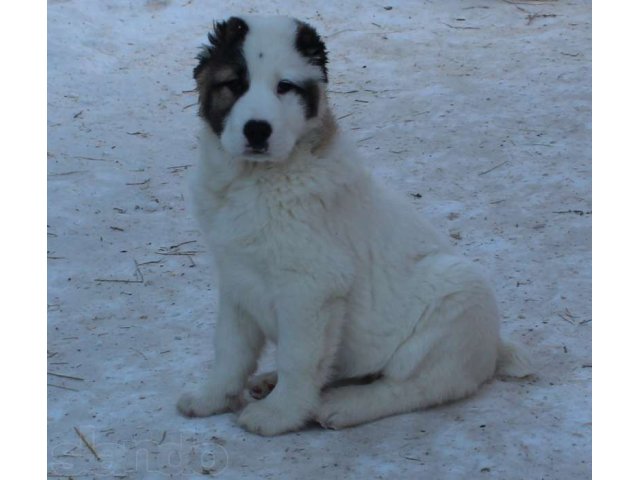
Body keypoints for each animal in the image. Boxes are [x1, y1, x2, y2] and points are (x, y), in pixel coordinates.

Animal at [178, 15, 532, 436]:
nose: (257, 130)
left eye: (284, 87)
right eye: (235, 84)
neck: (254, 181)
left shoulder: (312, 288)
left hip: (458, 294)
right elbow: (230, 351)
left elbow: (299, 359)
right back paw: (270, 381)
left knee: (413, 386)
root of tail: (493, 347)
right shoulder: (236, 278)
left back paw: (343, 406)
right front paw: (211, 397)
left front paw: (280, 414)